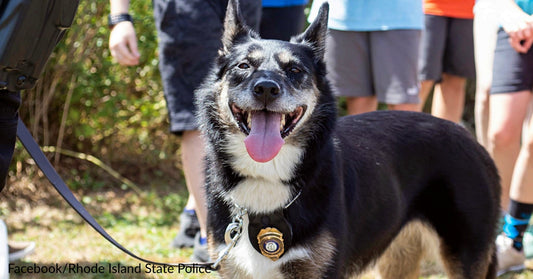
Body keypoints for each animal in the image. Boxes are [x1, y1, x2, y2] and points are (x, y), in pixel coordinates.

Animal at [194, 1, 498, 278]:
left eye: (295, 70)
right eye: (244, 65)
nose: (266, 88)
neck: (267, 176)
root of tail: (470, 139)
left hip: (464, 256)